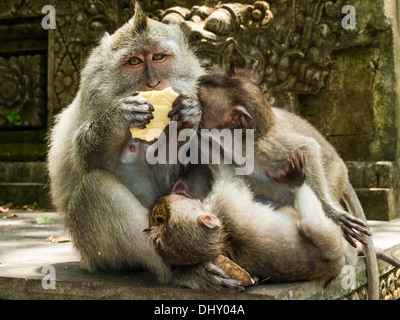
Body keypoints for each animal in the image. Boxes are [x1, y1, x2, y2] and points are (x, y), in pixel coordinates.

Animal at [46, 2, 242, 292]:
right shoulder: (94, 92)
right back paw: (180, 272)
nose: (152, 83)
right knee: (95, 188)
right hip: (98, 255)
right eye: (134, 61)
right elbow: (85, 160)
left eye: (158, 57)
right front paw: (120, 117)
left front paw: (191, 114)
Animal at [145, 150, 358, 284]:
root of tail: (335, 264)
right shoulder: (226, 200)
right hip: (330, 241)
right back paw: (297, 181)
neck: (223, 237)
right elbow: (226, 172)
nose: (164, 198)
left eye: (159, 219)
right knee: (312, 225)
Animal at [197, 67, 382, 298]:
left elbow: (307, 148)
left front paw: (332, 213)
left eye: (202, 103)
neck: (240, 142)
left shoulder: (265, 147)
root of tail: (344, 173)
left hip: (334, 174)